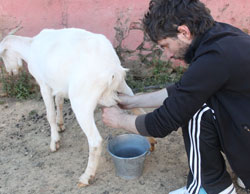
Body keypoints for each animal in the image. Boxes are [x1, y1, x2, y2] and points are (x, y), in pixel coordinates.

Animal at [0, 28, 156, 186]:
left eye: (3, 56)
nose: (11, 72)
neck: (30, 47)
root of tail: (111, 70)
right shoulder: (59, 85)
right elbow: (59, 102)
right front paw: (60, 125)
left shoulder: (44, 84)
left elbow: (50, 114)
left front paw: (55, 142)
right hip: (123, 87)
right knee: (137, 109)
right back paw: (150, 141)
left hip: (81, 102)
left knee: (95, 141)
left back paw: (86, 177)